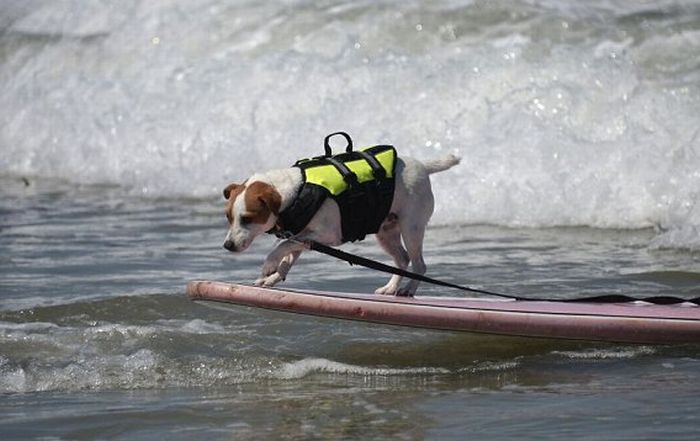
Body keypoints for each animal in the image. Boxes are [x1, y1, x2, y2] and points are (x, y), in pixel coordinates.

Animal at [223, 147, 460, 296]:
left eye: (247, 218)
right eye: (228, 217)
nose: (227, 246)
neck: (297, 190)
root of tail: (423, 166)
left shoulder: (324, 235)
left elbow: (281, 246)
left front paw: (269, 265)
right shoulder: (301, 236)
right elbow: (287, 256)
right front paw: (272, 277)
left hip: (412, 227)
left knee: (418, 264)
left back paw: (409, 289)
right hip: (386, 231)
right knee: (402, 260)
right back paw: (390, 288)